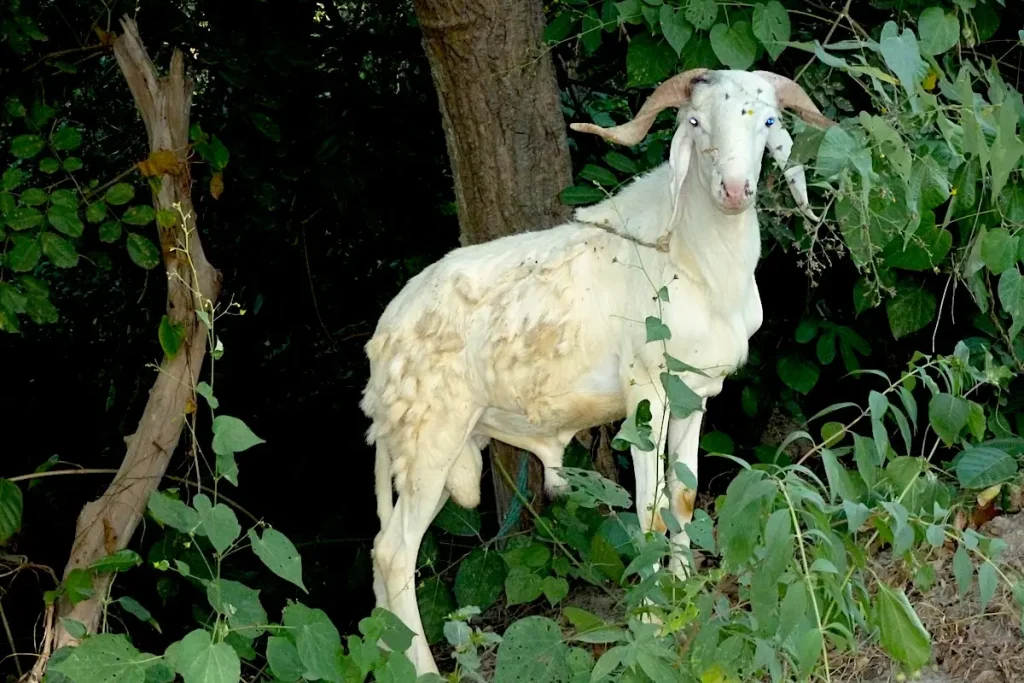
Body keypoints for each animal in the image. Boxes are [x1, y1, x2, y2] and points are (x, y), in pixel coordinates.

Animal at [358, 69, 831, 671]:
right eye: (695, 120)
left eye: (768, 120)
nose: (733, 190)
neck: (694, 260)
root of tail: (382, 339)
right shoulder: (645, 393)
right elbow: (648, 509)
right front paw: (651, 626)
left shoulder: (695, 394)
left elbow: (682, 500)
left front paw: (685, 606)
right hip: (428, 441)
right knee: (394, 552)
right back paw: (423, 671)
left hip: (444, 448)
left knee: (383, 554)